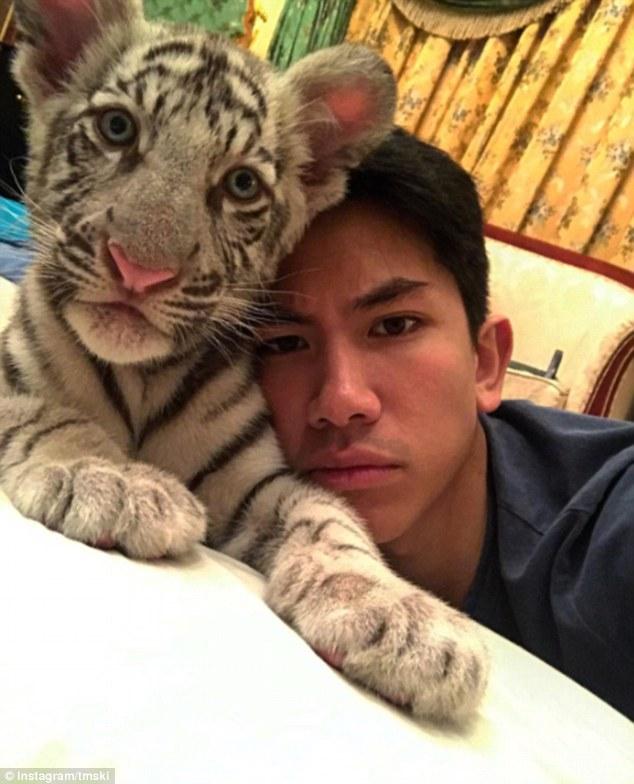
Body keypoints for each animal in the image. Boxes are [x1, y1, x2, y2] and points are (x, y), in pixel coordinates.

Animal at [0, 0, 488, 721]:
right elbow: (54, 418)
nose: (141, 271)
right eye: (118, 129)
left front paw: (404, 621)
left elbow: (331, 524)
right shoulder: (13, 394)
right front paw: (114, 481)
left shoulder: (258, 484)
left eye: (240, 185)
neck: (141, 375)